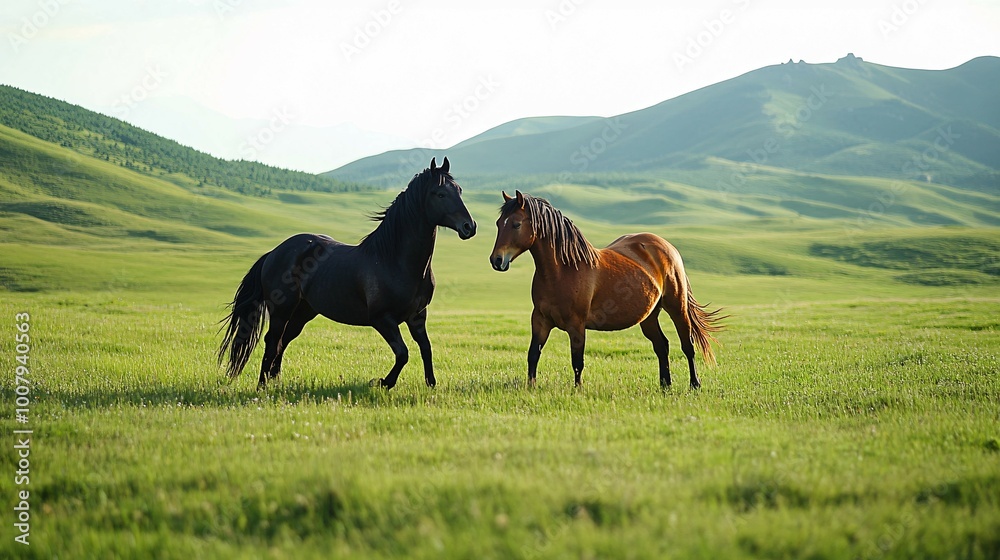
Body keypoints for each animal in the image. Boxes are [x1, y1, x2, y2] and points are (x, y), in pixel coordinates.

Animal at [218, 157, 476, 390]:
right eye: (439, 194)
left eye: (459, 190)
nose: (469, 227)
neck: (394, 261)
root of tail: (274, 252)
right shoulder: (382, 319)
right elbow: (403, 353)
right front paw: (383, 382)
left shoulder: (417, 316)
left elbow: (426, 348)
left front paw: (431, 384)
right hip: (281, 310)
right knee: (272, 340)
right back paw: (262, 386)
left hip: (304, 311)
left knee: (284, 340)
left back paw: (275, 381)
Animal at [489, 190, 723, 389]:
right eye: (499, 223)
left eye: (516, 224)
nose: (496, 260)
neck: (563, 270)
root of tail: (667, 247)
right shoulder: (540, 320)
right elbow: (533, 355)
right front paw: (531, 387)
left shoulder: (577, 325)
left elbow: (577, 361)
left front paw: (578, 390)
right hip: (649, 316)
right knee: (661, 346)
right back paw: (665, 385)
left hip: (677, 307)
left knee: (687, 345)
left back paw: (695, 384)